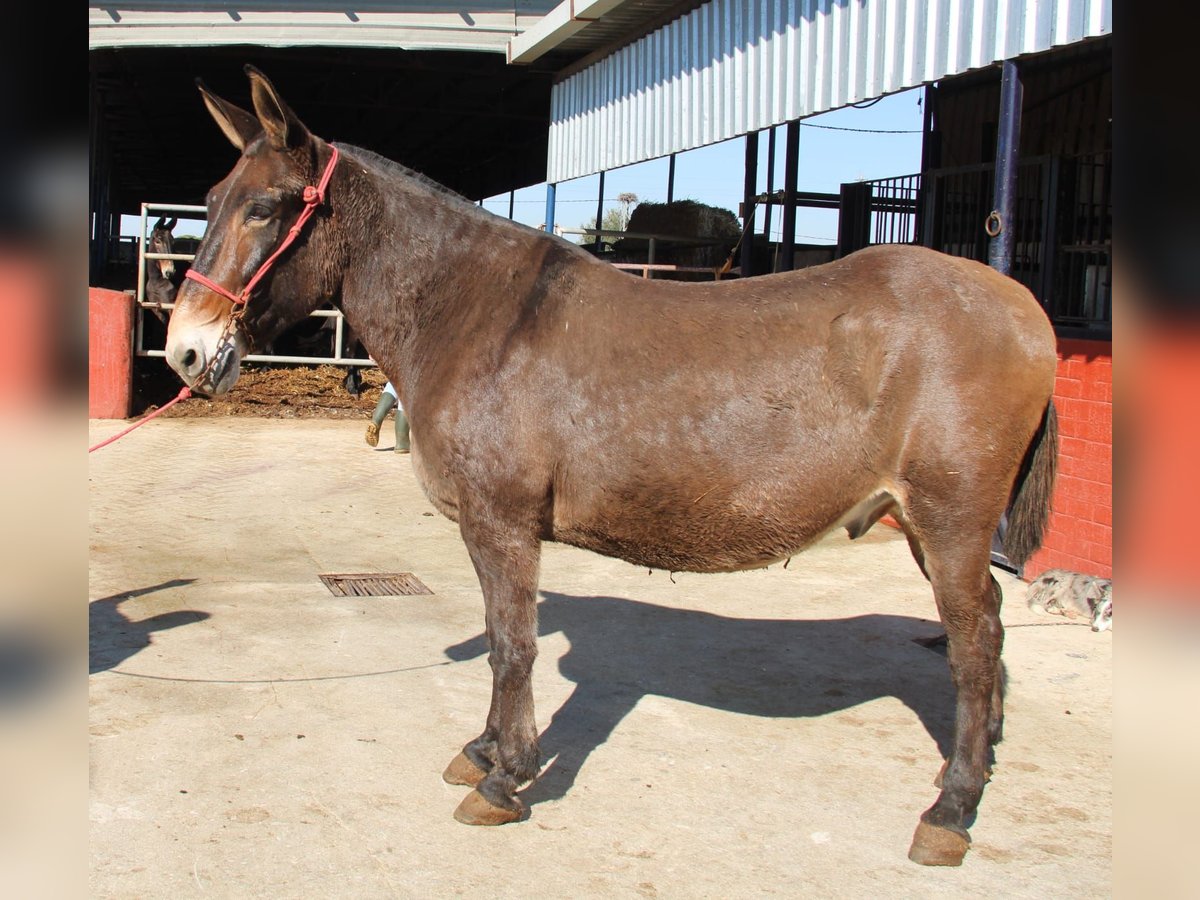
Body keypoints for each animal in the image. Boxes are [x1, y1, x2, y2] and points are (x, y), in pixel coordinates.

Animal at [164, 66, 1059, 867]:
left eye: (265, 208)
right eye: (209, 203)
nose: (185, 353)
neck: (479, 316)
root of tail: (1020, 305)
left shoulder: (503, 524)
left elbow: (513, 645)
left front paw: (507, 779)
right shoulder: (491, 531)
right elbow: (501, 637)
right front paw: (485, 751)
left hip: (950, 522)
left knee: (973, 642)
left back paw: (950, 810)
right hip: (928, 526)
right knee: (988, 630)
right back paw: (972, 768)